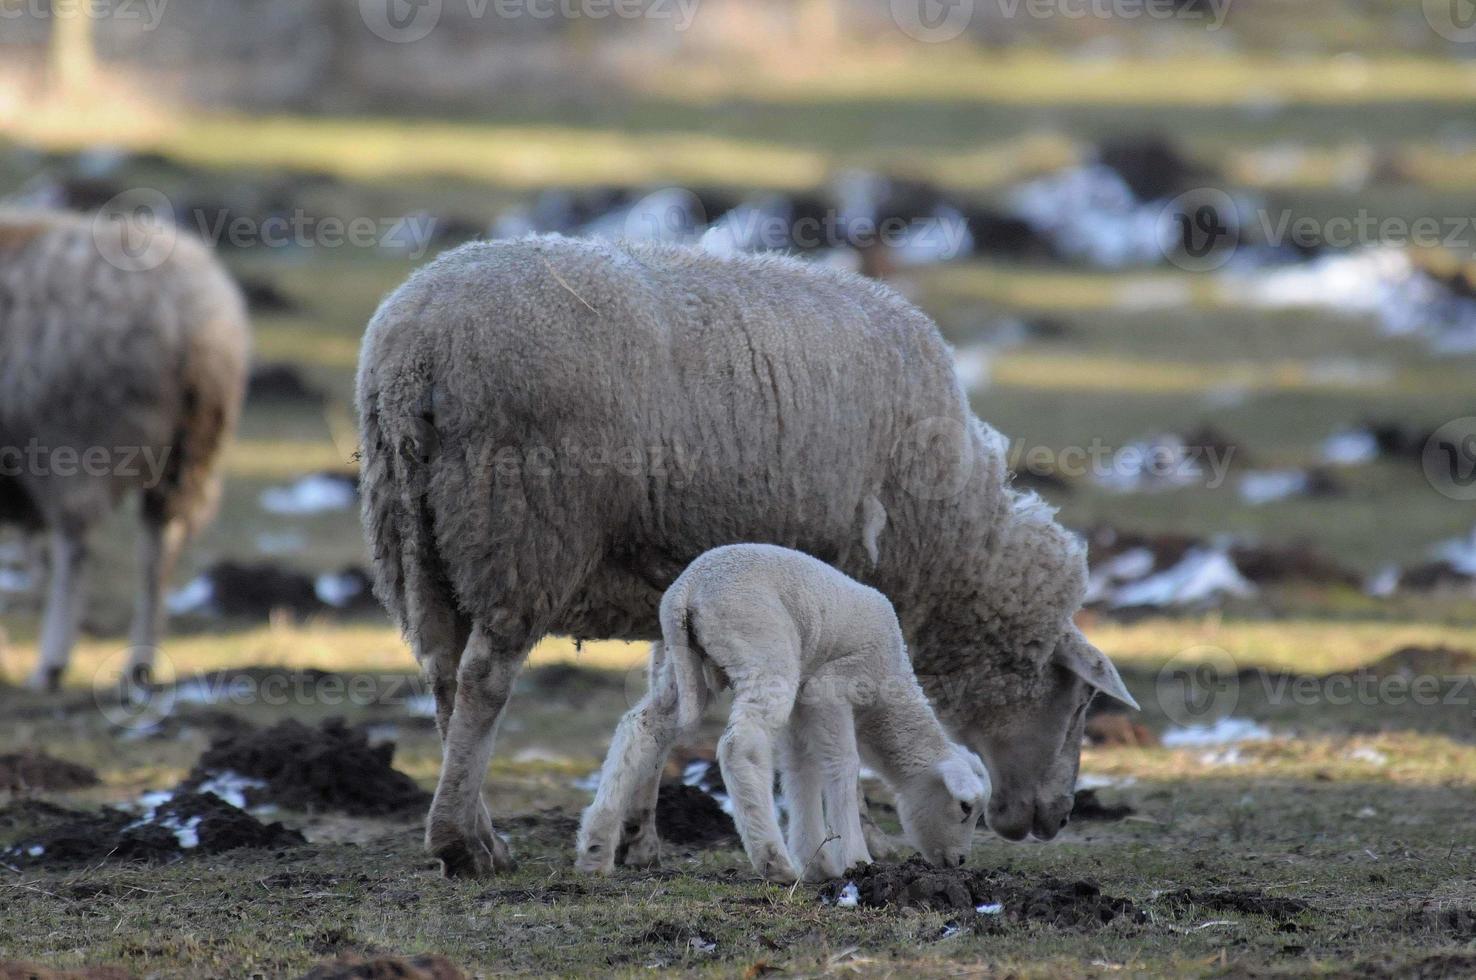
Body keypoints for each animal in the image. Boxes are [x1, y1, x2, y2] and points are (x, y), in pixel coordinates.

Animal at [0, 211, 250, 693]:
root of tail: (193, 320)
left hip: (71, 443)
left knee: (75, 548)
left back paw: (52, 662)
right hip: (186, 452)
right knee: (157, 550)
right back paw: (140, 662)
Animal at [578, 540, 991, 885]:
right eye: (965, 807)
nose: (959, 862)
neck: (886, 695)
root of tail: (688, 590)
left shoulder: (804, 701)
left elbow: (801, 769)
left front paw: (817, 863)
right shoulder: (832, 686)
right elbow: (842, 764)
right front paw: (856, 861)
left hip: (689, 667)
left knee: (643, 727)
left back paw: (596, 849)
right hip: (763, 649)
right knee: (741, 744)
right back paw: (773, 859)